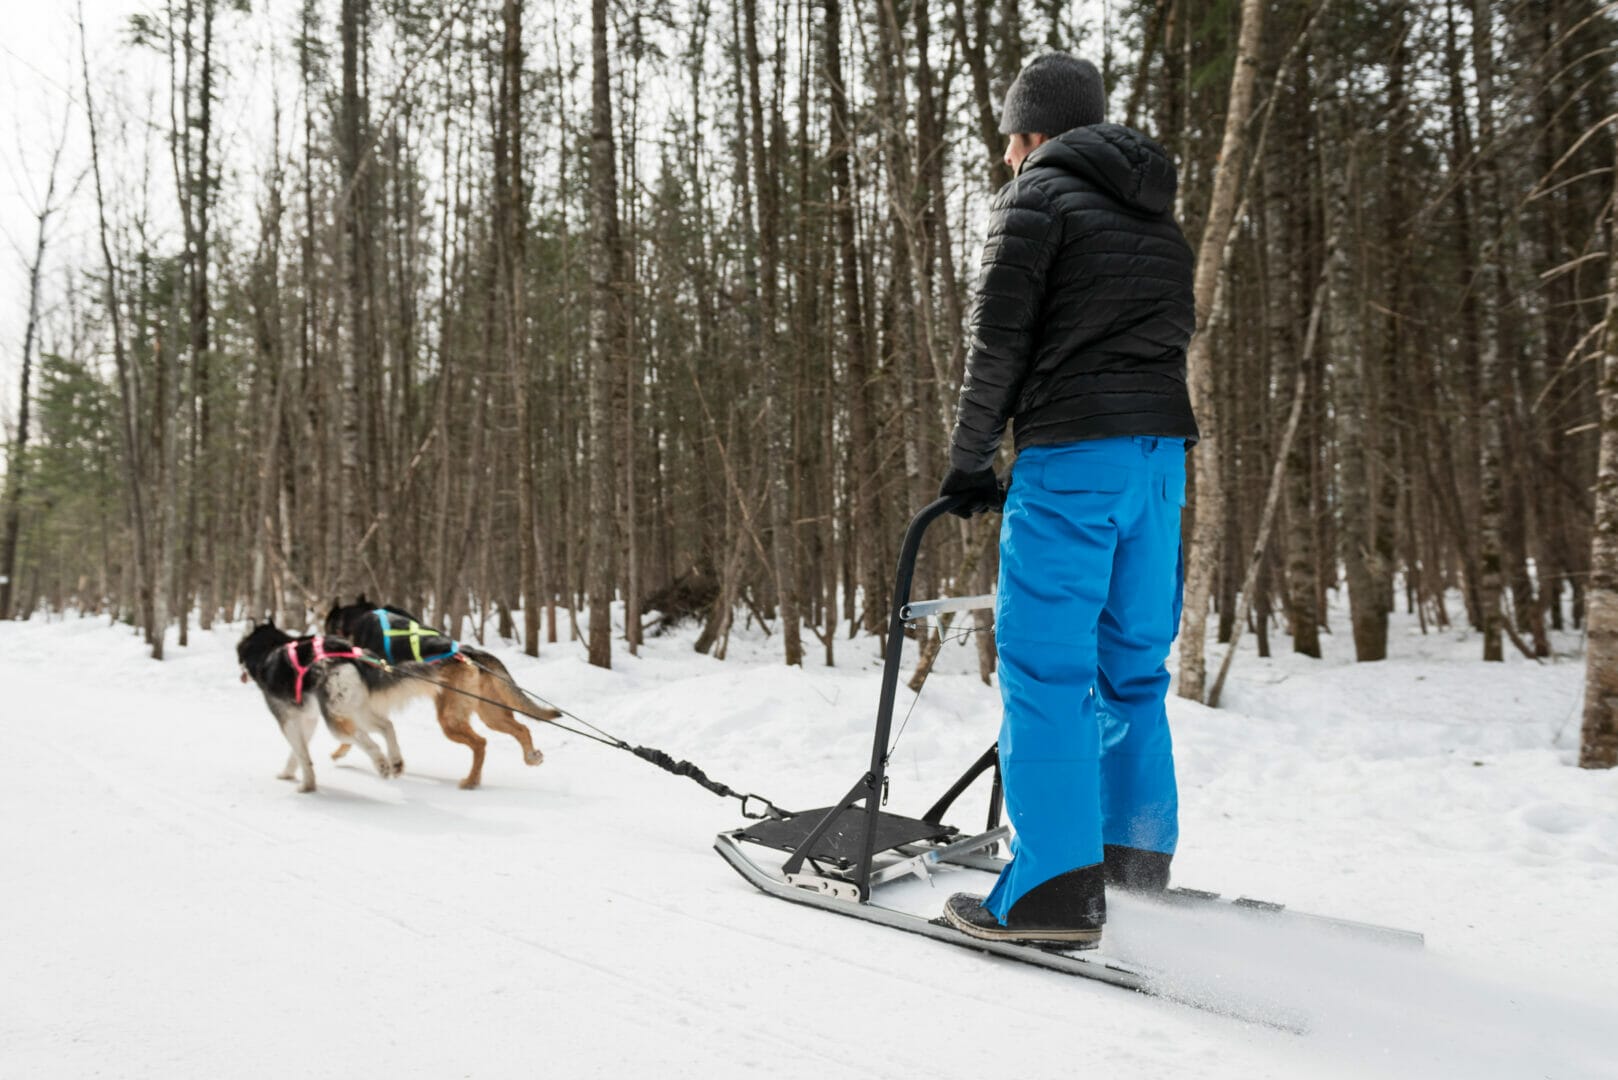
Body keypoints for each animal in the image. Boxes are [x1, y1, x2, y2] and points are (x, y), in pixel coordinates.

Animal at [236, 621, 423, 790]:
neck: (267, 651)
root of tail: (347, 651)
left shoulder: (287, 720)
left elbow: (301, 754)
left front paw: (307, 786)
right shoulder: (308, 720)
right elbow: (297, 754)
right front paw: (288, 774)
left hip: (336, 721)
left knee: (364, 739)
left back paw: (381, 763)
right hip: (356, 711)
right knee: (387, 726)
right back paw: (396, 762)